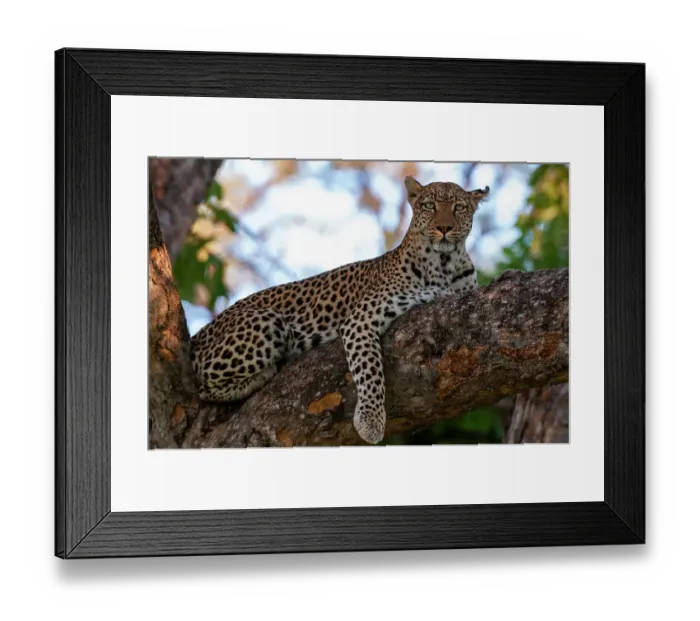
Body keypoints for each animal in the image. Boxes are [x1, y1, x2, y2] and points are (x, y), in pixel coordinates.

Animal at [190, 176, 490, 445]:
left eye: (459, 208)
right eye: (429, 205)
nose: (443, 227)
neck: (444, 264)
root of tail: (199, 334)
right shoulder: (361, 319)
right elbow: (370, 370)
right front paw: (370, 421)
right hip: (267, 321)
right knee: (204, 387)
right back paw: (263, 374)